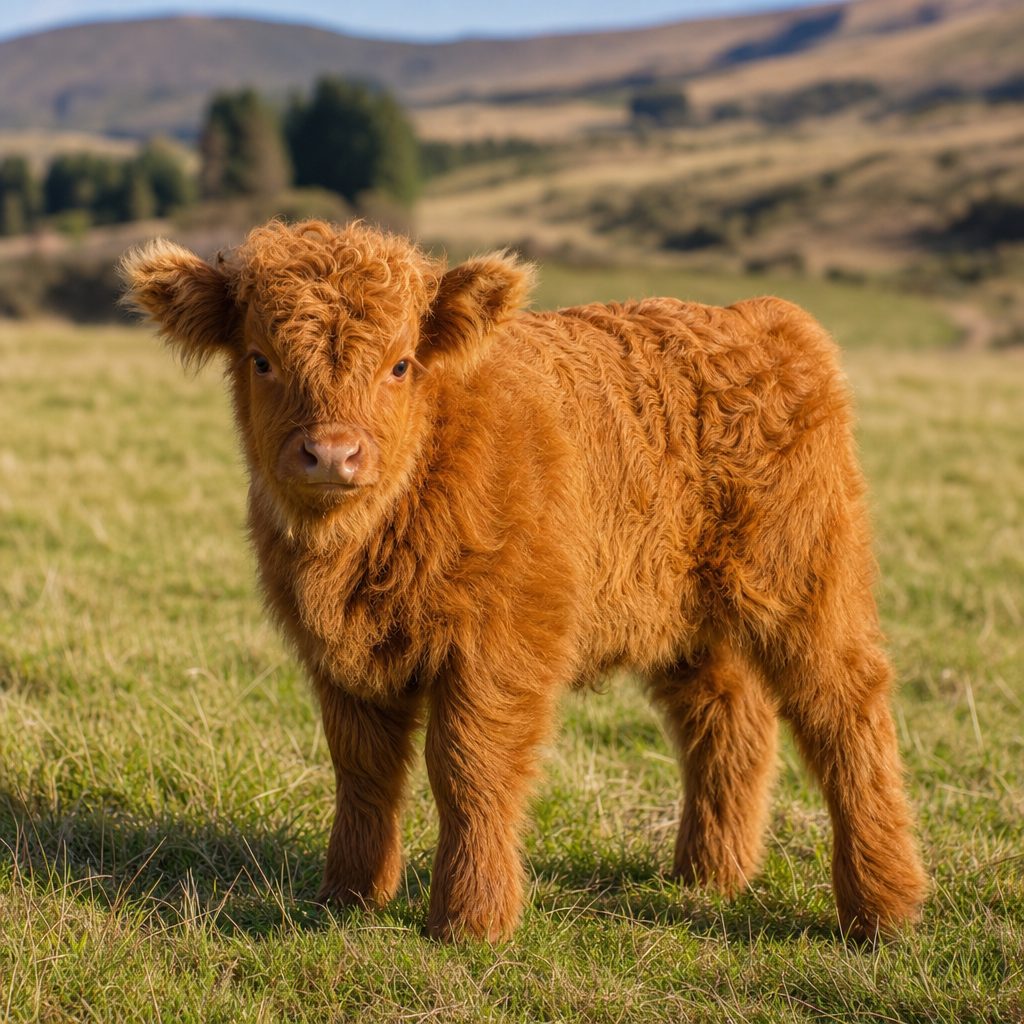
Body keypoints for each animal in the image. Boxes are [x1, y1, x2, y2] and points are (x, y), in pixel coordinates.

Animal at [120, 219, 927, 942]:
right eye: (261, 360)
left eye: (401, 364)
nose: (332, 454)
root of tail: (755, 317)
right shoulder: (341, 660)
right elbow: (363, 771)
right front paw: (348, 896)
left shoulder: (500, 641)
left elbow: (469, 768)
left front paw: (470, 920)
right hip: (686, 615)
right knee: (727, 719)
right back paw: (708, 875)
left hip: (806, 580)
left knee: (845, 710)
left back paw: (881, 906)